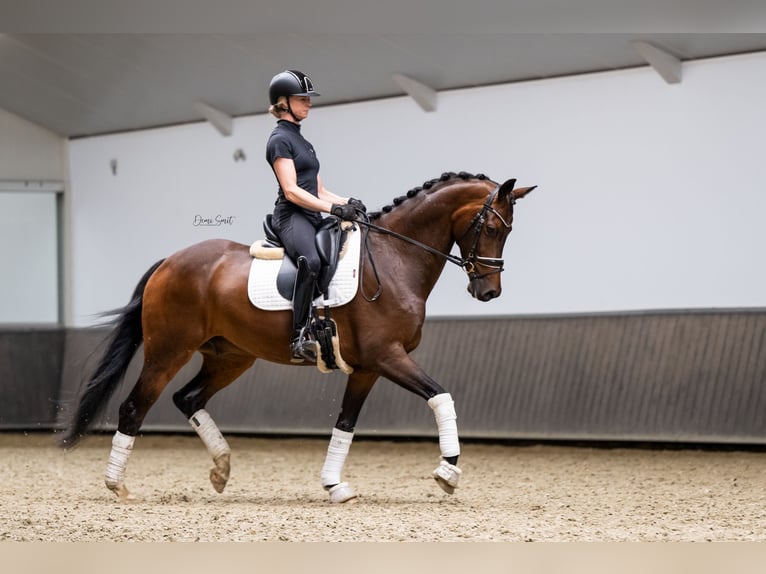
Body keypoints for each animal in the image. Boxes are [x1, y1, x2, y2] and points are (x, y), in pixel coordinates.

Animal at [60, 171, 536, 504]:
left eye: (508, 231)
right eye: (492, 229)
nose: (489, 292)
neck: (394, 258)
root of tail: (169, 261)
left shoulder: (367, 368)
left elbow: (345, 424)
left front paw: (335, 486)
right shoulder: (388, 357)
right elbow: (441, 396)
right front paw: (448, 472)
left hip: (231, 356)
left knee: (188, 398)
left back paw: (221, 469)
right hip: (168, 351)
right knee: (134, 406)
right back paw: (117, 486)